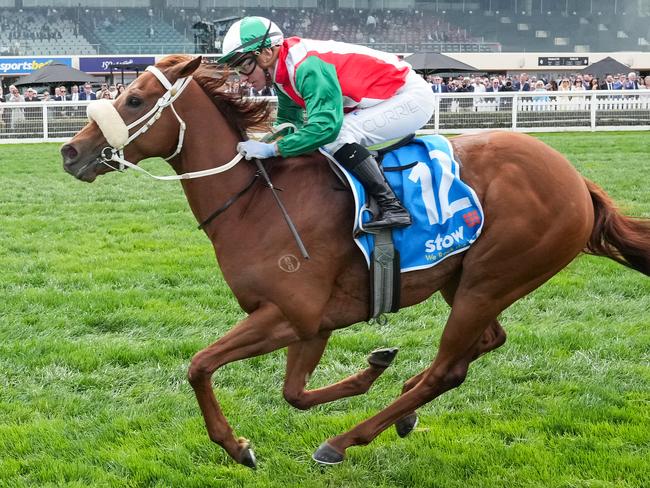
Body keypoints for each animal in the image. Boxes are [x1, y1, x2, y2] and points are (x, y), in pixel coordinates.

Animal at [60, 55, 648, 468]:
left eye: (135, 99)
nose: (70, 152)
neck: (253, 201)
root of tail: (578, 180)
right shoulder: (312, 324)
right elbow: (294, 393)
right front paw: (373, 368)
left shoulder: (289, 314)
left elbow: (200, 365)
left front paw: (237, 446)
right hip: (464, 280)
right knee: (483, 343)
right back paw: (404, 407)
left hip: (493, 278)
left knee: (451, 368)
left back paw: (345, 440)